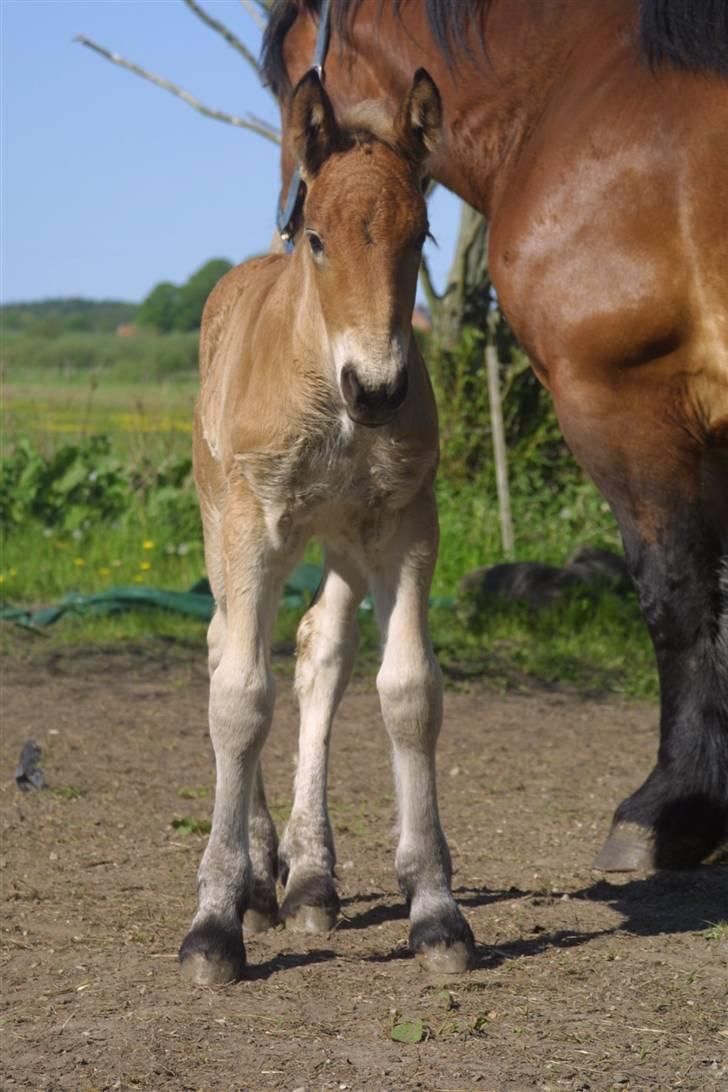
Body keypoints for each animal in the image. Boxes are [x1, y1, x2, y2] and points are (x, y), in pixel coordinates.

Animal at [178, 70, 475, 991]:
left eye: (421, 236)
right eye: (316, 238)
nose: (376, 389)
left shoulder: (406, 524)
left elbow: (408, 692)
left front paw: (436, 911)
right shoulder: (252, 529)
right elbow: (240, 697)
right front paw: (214, 921)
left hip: (342, 540)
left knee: (320, 650)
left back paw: (309, 876)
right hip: (221, 517)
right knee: (225, 647)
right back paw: (258, 879)